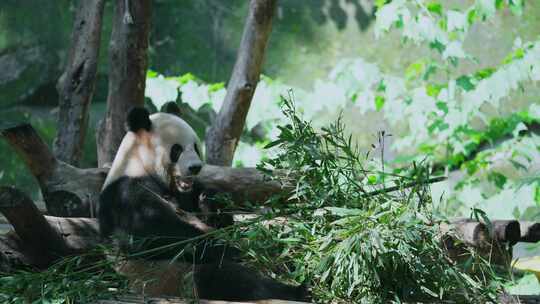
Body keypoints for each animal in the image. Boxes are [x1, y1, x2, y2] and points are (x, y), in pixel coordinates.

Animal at [97, 107, 308, 302]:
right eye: (177, 149)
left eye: (196, 147)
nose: (195, 167)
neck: (137, 163)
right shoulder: (125, 194)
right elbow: (155, 235)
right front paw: (231, 249)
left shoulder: (188, 193)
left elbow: (219, 220)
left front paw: (210, 201)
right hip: (173, 276)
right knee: (227, 278)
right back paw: (294, 289)